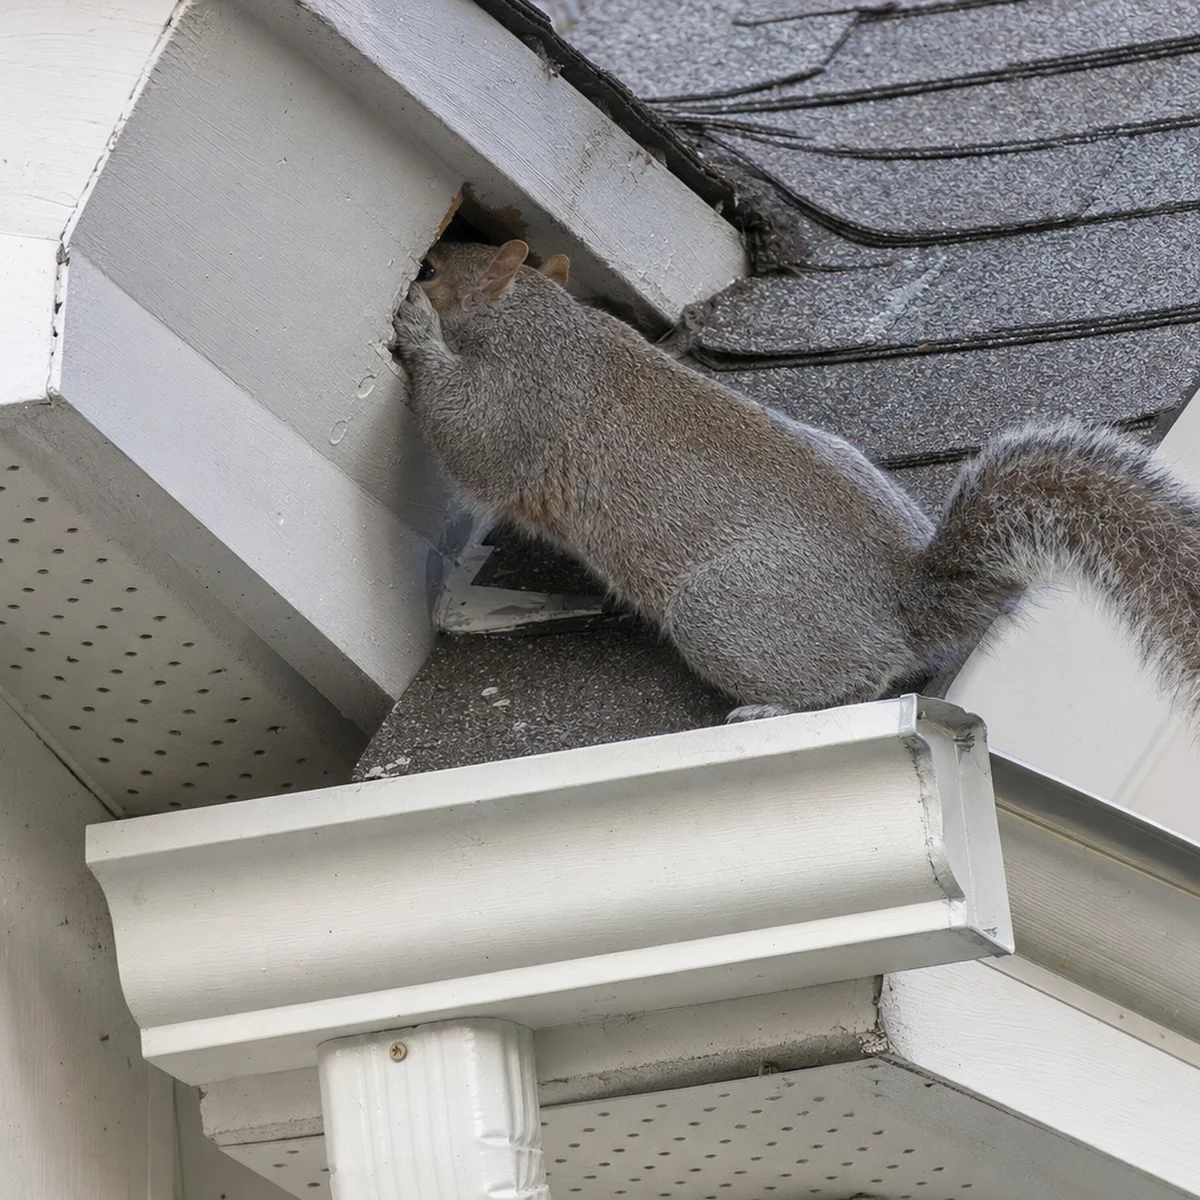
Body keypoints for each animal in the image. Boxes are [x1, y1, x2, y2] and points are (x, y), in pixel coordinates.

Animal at [391, 239, 1200, 724]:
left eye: (433, 268)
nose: (418, 269)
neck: (537, 318)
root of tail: (904, 599)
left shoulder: (528, 402)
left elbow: (471, 441)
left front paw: (415, 327)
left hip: (724, 611)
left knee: (857, 686)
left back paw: (769, 711)